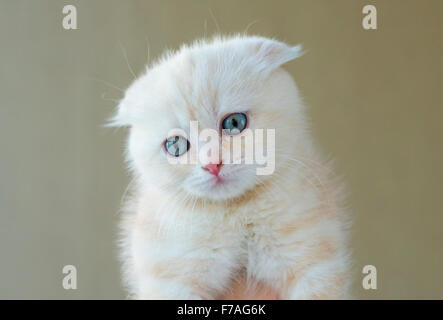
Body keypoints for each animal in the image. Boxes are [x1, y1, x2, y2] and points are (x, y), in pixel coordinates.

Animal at [112, 35, 354, 300]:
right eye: (175, 145)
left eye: (234, 122)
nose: (212, 164)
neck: (235, 213)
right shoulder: (170, 281)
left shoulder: (316, 264)